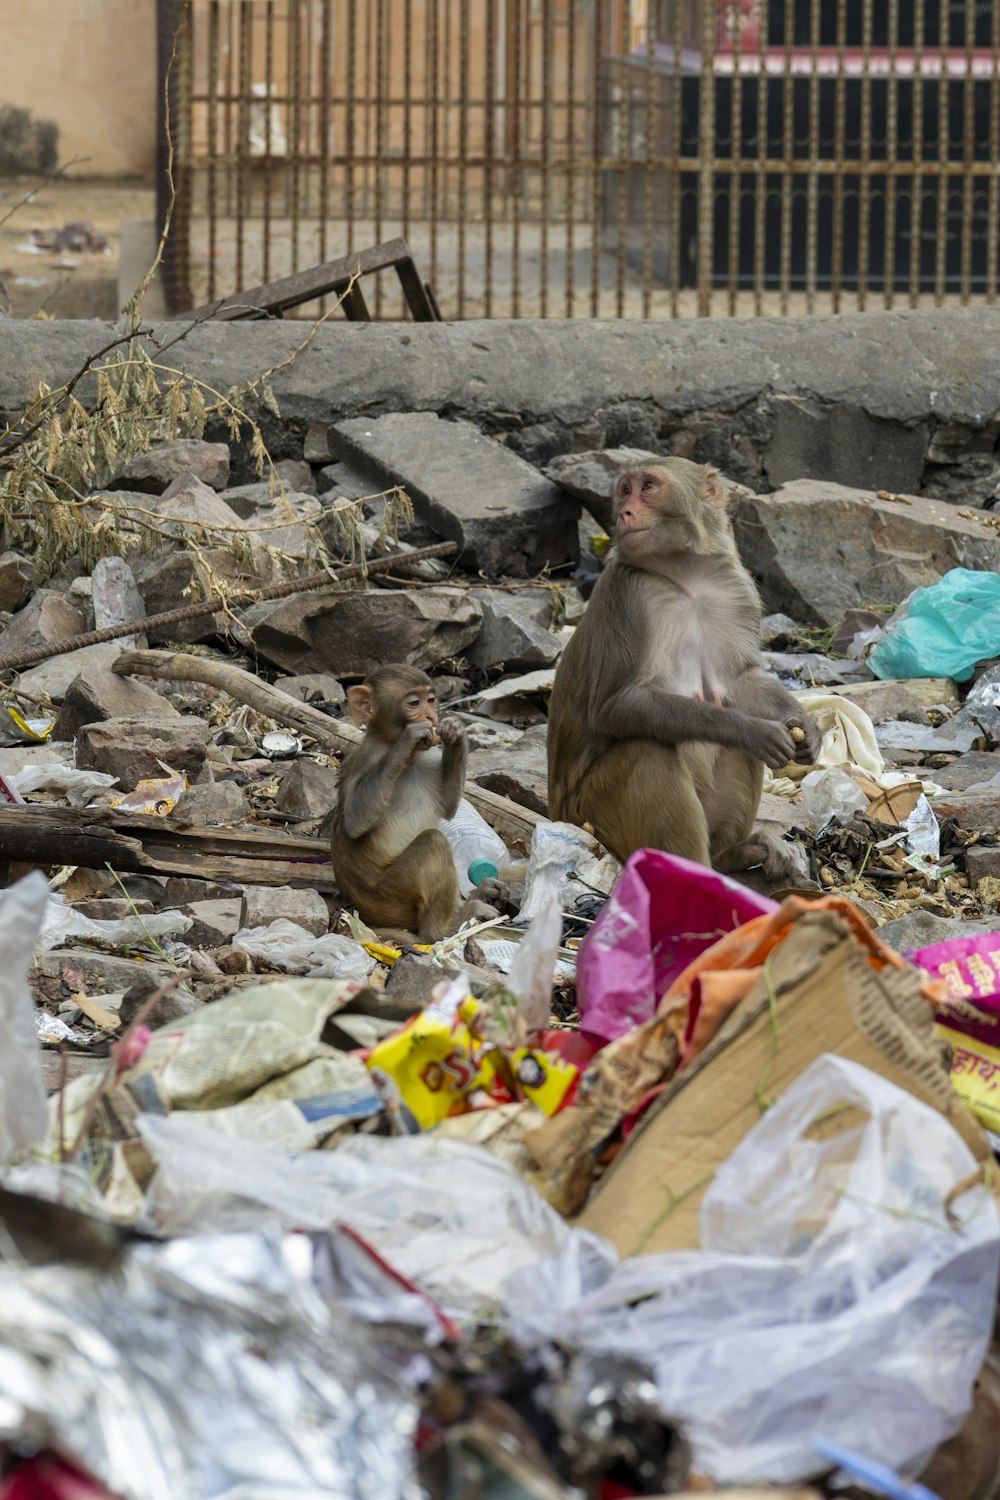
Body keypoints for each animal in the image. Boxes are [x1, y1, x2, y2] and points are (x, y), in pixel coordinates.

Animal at [329, 666, 467, 936]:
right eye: (414, 703)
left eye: (431, 700)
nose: (431, 716)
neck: (411, 761)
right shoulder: (367, 758)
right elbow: (354, 822)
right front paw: (408, 739)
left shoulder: (429, 756)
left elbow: (446, 806)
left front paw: (455, 731)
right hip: (392, 899)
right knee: (433, 842)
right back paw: (440, 931)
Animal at [548, 456, 821, 876]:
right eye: (624, 491)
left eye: (647, 487)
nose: (625, 512)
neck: (684, 576)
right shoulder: (627, 595)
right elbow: (615, 706)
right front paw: (748, 729)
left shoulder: (736, 589)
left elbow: (742, 681)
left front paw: (805, 726)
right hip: (588, 814)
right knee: (648, 752)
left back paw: (730, 856)